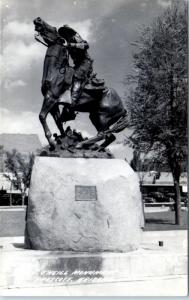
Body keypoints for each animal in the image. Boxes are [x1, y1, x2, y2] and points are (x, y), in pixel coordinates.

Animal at [34, 17, 128, 150]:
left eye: (53, 29)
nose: (38, 19)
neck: (56, 72)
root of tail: (123, 107)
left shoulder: (50, 98)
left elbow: (41, 116)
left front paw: (52, 142)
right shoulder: (54, 104)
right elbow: (58, 123)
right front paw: (61, 141)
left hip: (103, 115)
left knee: (102, 134)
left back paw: (81, 144)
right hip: (94, 116)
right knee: (109, 136)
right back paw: (96, 148)